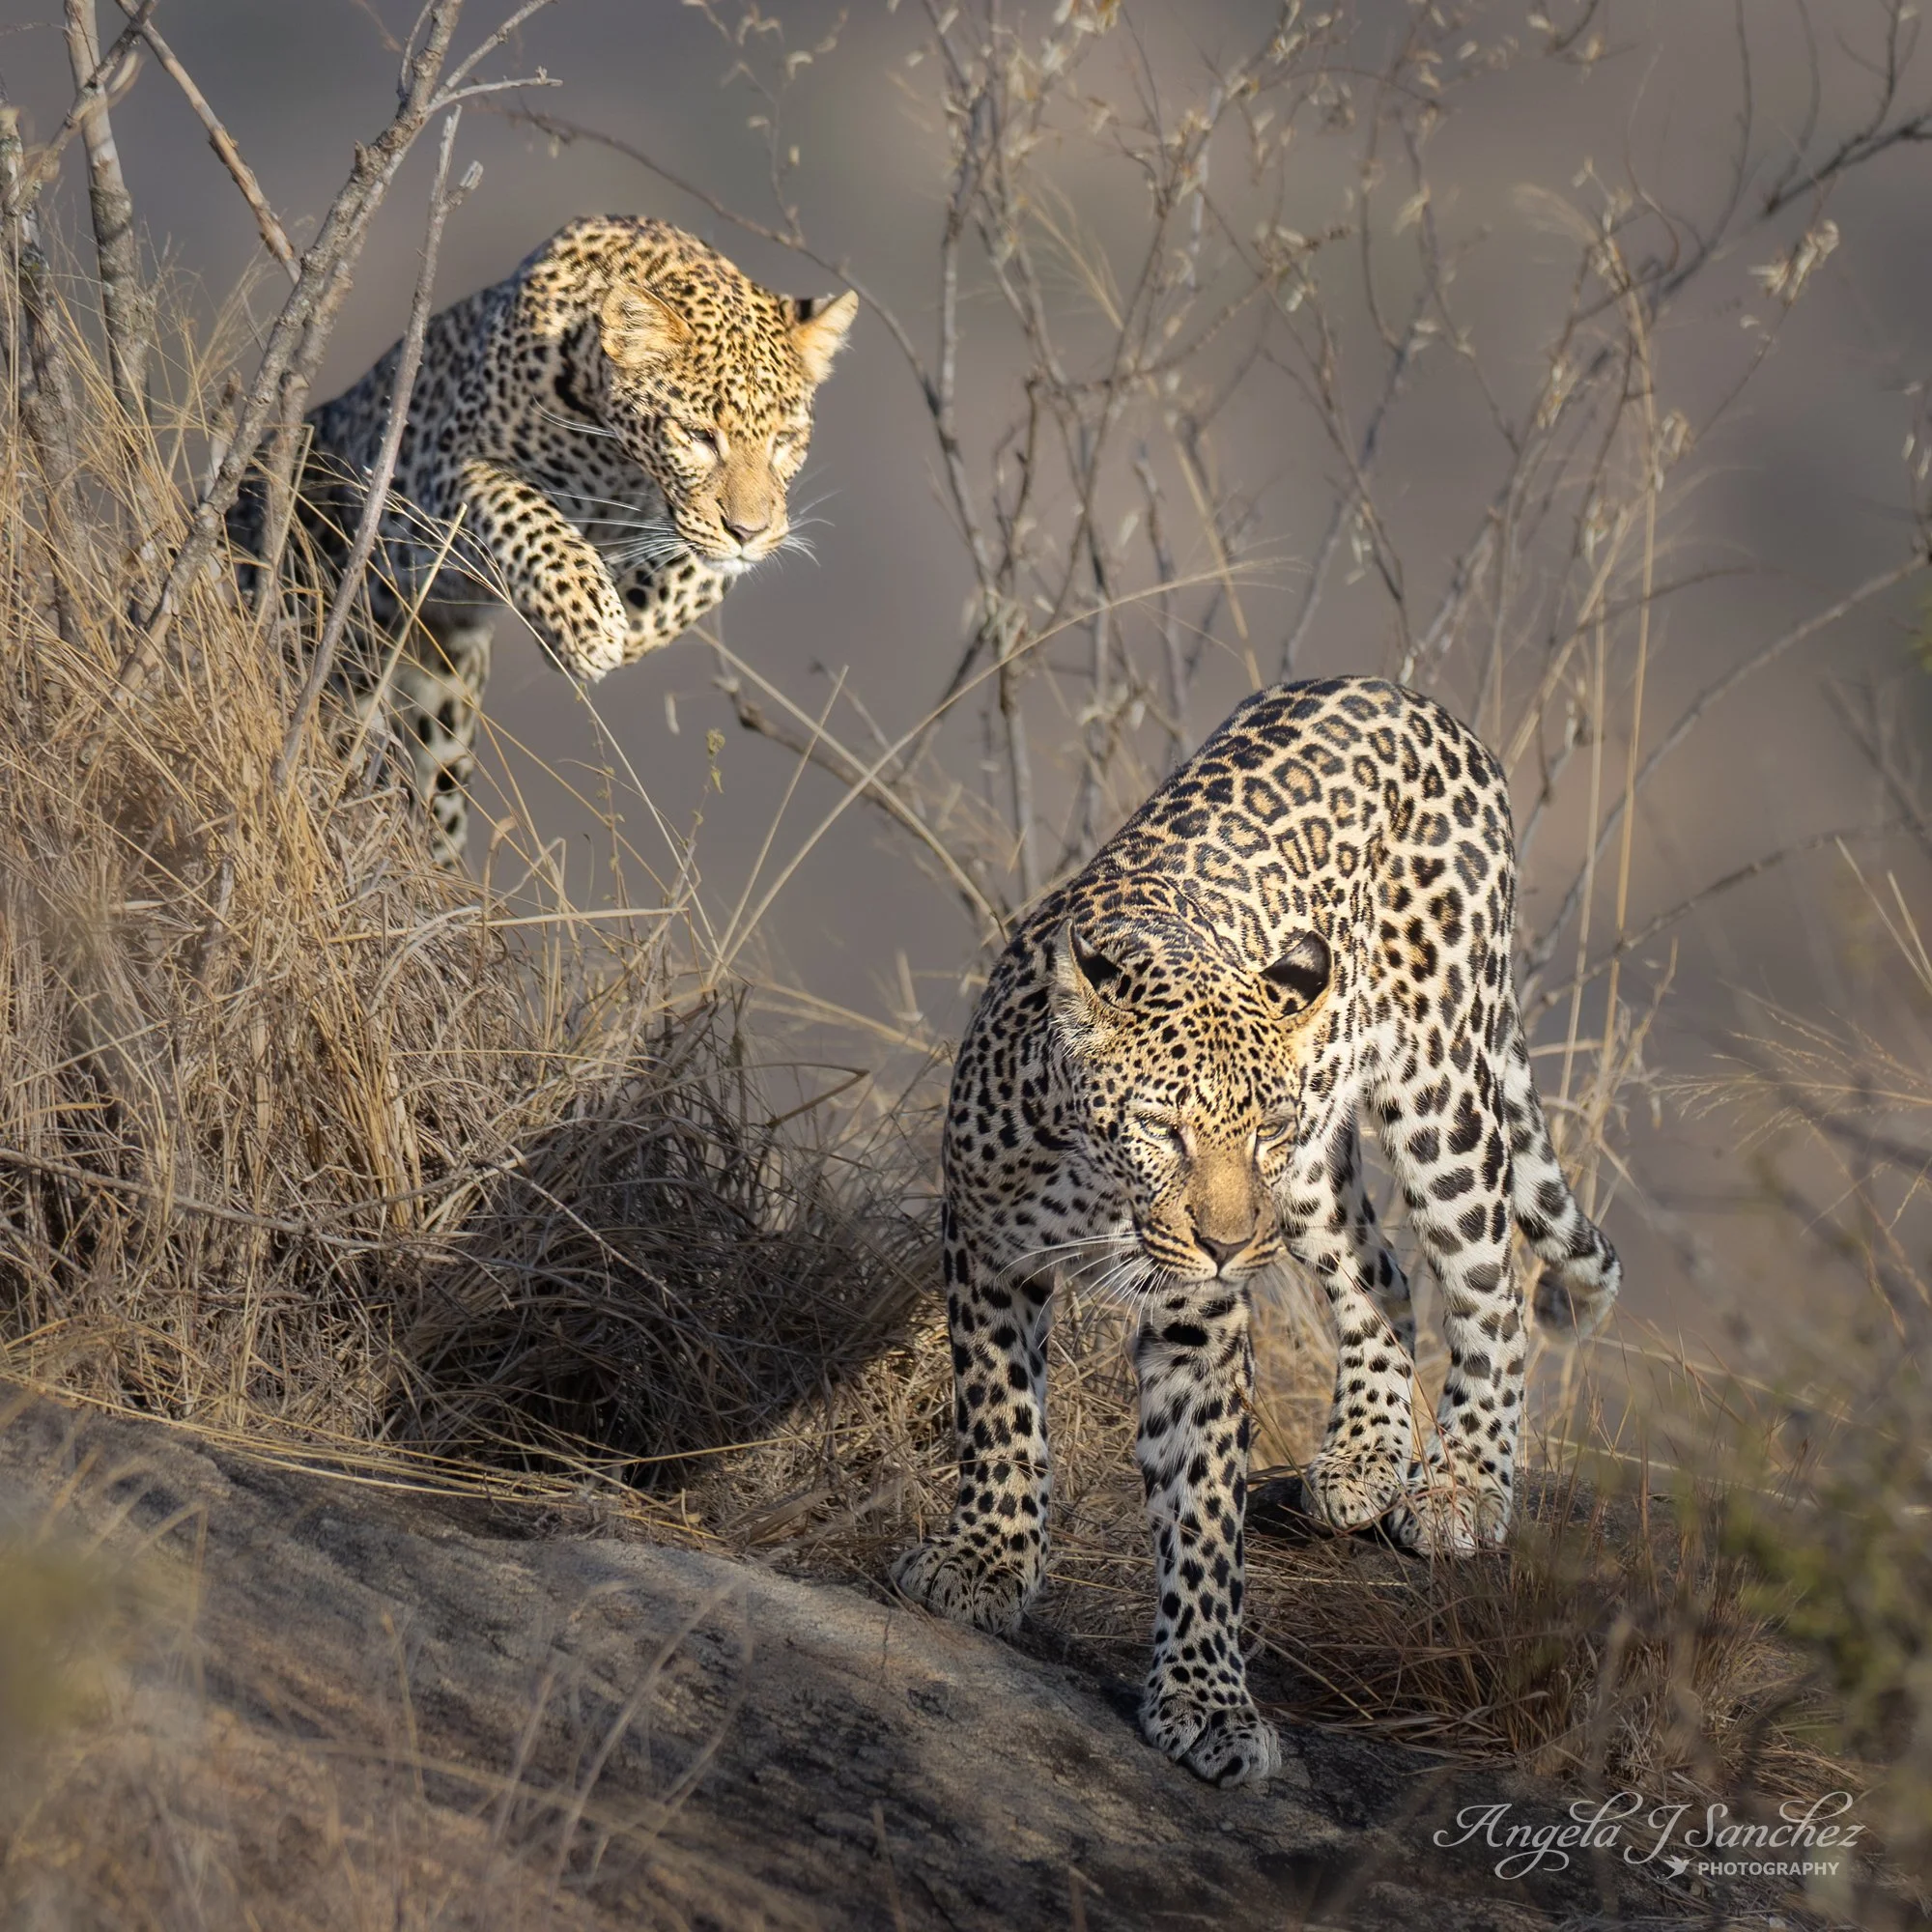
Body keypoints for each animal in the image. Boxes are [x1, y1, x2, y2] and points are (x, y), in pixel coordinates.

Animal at [230, 215, 857, 860]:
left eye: (785, 439)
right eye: (698, 435)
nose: (748, 532)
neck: (621, 462)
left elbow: (698, 574)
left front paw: (627, 626)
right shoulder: (445, 474)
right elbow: (527, 515)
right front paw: (589, 625)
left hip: (442, 718)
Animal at [891, 674, 1620, 1788]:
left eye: (1258, 1130)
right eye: (1162, 1128)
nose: (1230, 1242)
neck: (1097, 1185)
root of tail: (1408, 696)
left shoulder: (1199, 1310)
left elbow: (1201, 1505)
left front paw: (1206, 1697)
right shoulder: (985, 1245)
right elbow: (1000, 1417)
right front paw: (987, 1561)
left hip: (1432, 1096)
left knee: (1491, 1285)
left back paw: (1461, 1483)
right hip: (1316, 1182)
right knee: (1380, 1274)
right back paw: (1362, 1456)